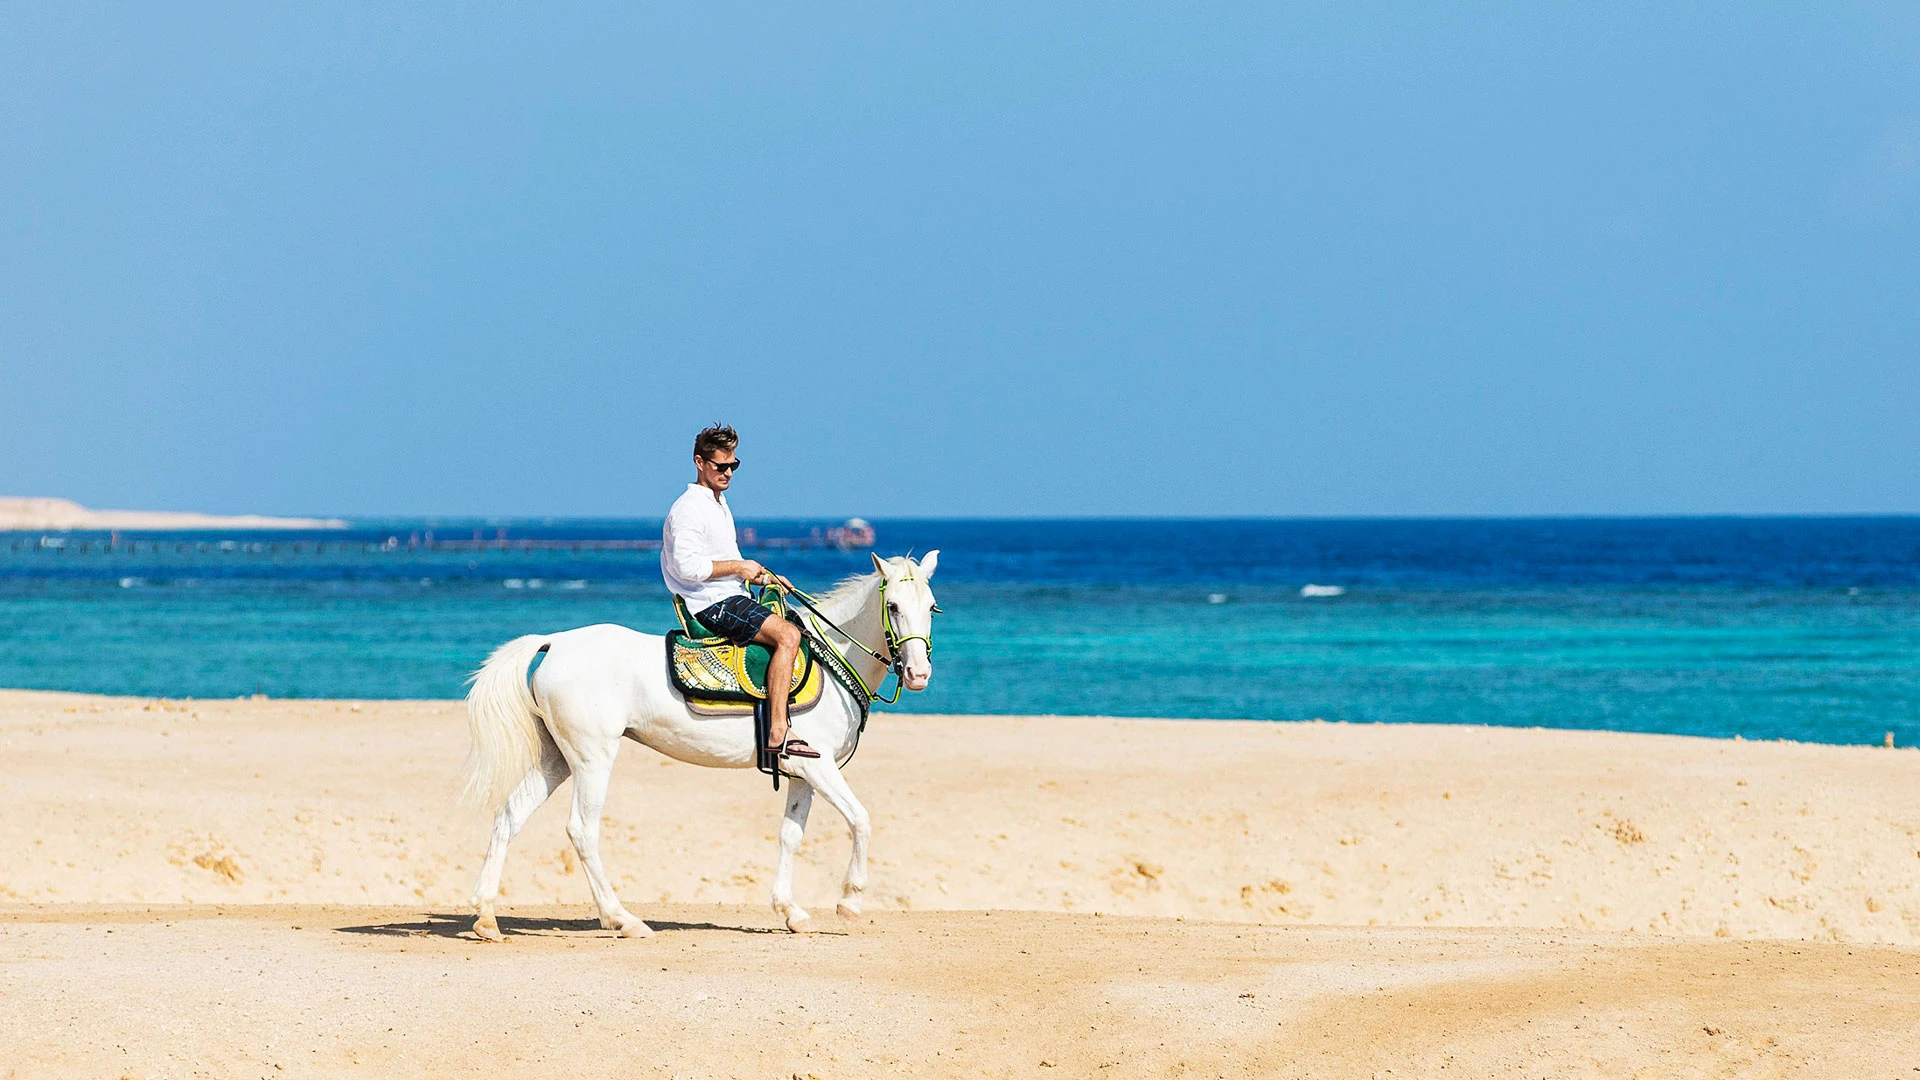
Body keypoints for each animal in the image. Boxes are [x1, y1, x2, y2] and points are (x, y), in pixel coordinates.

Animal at [458, 551, 939, 939]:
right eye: (893, 606)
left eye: (932, 606)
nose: (918, 674)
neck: (833, 657)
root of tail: (555, 642)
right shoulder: (820, 768)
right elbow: (861, 820)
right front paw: (850, 901)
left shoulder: (803, 771)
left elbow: (790, 836)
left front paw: (791, 912)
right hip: (593, 759)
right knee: (582, 830)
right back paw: (623, 919)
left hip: (556, 758)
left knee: (509, 815)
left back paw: (486, 916)